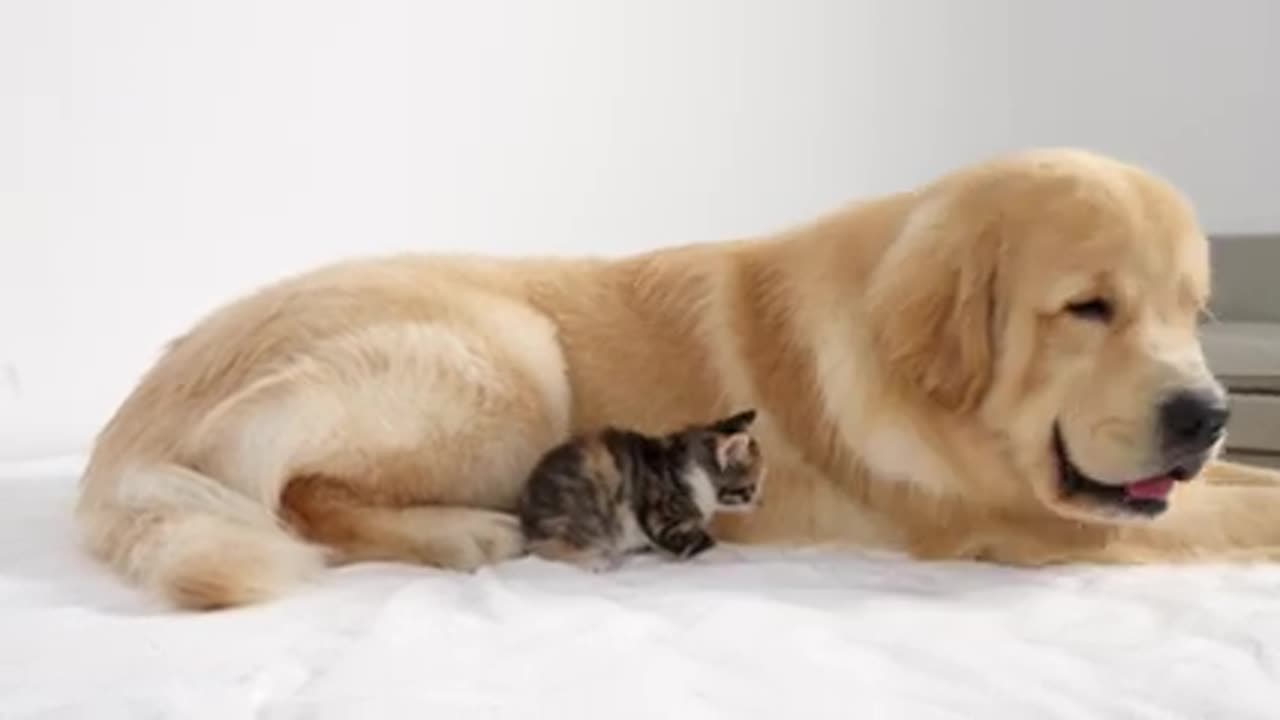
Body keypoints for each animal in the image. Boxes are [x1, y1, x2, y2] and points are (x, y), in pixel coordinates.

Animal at [514, 409, 762, 566]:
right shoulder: (661, 519)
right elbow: (703, 544)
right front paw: (731, 557)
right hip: (578, 521)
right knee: (545, 552)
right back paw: (595, 562)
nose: (760, 503)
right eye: (751, 488)